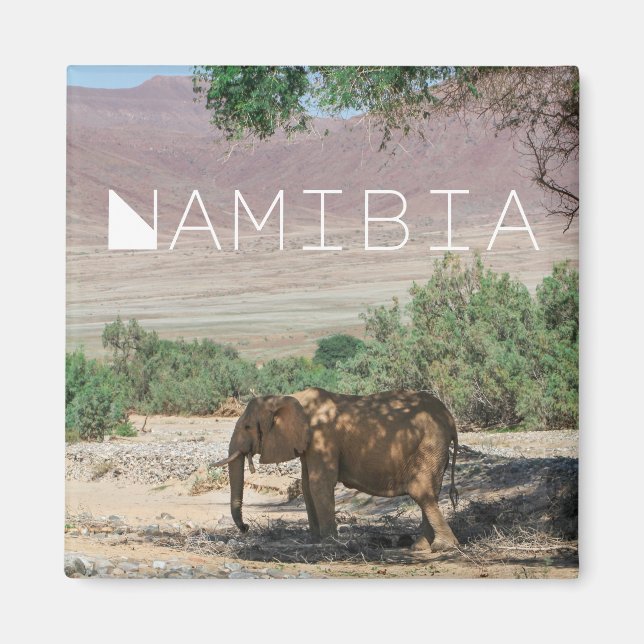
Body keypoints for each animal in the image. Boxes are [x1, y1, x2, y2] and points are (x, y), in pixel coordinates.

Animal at [211, 387, 459, 551]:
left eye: (247, 426)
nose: (245, 528)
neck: (291, 397)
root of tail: (450, 418)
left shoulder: (322, 437)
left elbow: (319, 483)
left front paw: (329, 542)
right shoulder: (307, 443)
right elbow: (307, 485)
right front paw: (315, 540)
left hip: (431, 442)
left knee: (421, 491)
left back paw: (442, 546)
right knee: (431, 491)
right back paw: (421, 546)